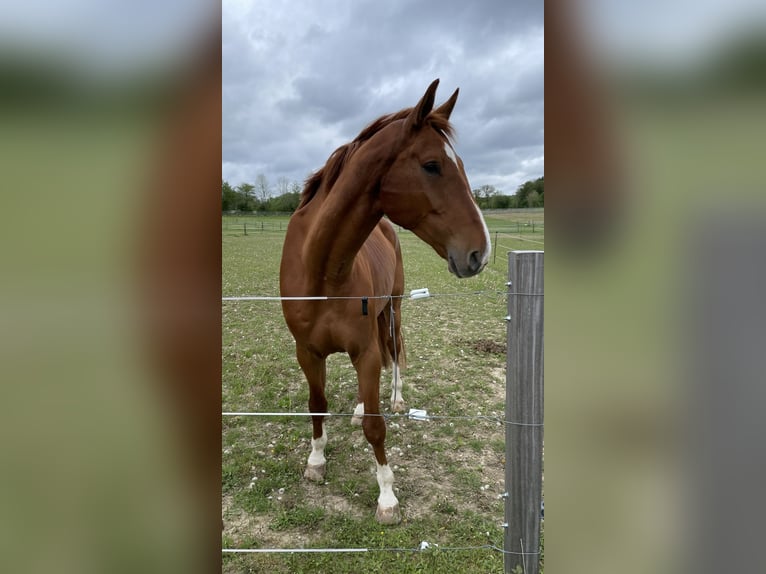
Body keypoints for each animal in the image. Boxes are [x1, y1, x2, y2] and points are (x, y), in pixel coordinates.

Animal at [280, 81, 492, 528]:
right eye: (432, 165)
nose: (480, 253)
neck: (321, 269)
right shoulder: (307, 352)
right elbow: (316, 406)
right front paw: (316, 462)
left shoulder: (366, 352)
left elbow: (377, 428)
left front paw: (387, 497)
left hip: (392, 309)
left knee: (393, 354)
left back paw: (394, 399)